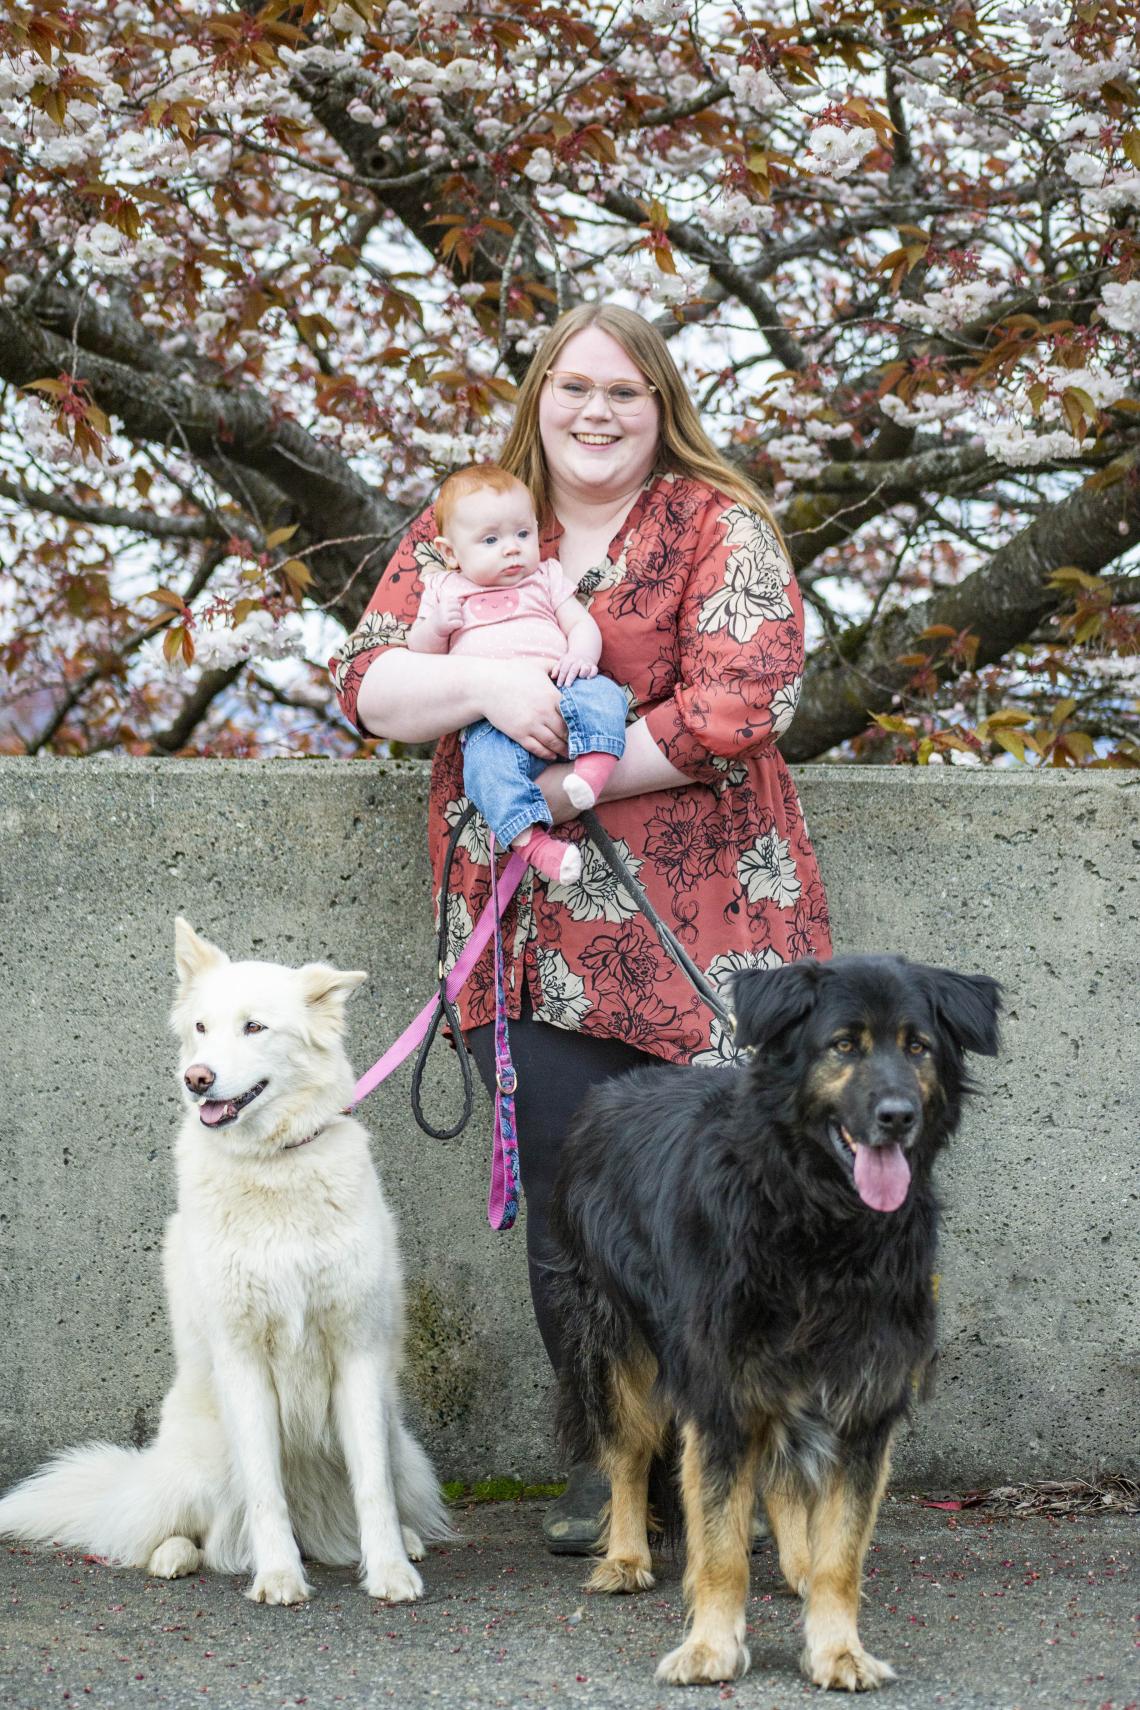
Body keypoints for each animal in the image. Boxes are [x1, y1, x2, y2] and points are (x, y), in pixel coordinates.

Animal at [0, 923, 454, 1600]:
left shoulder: (357, 1354)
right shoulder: (242, 1359)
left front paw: (391, 1572)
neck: (274, 1167)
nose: (197, 1078)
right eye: (201, 1028)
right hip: (201, 1461)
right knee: (168, 1532)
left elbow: (372, 1487)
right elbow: (265, 1491)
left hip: (399, 1439)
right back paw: (174, 1555)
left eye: (254, 1027)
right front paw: (279, 1577)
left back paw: (404, 1540)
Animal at [553, 957, 998, 1689]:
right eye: (843, 1045)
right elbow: (720, 1546)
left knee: (786, 1480)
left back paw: (796, 1568)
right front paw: (709, 1647)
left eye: (918, 1047)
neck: (819, 1222)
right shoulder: (722, 1397)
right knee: (628, 1451)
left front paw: (837, 1647)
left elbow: (839, 1550)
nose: (897, 1117)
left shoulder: (861, 1401)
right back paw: (625, 1557)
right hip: (616, 1347)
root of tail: (610, 1093)